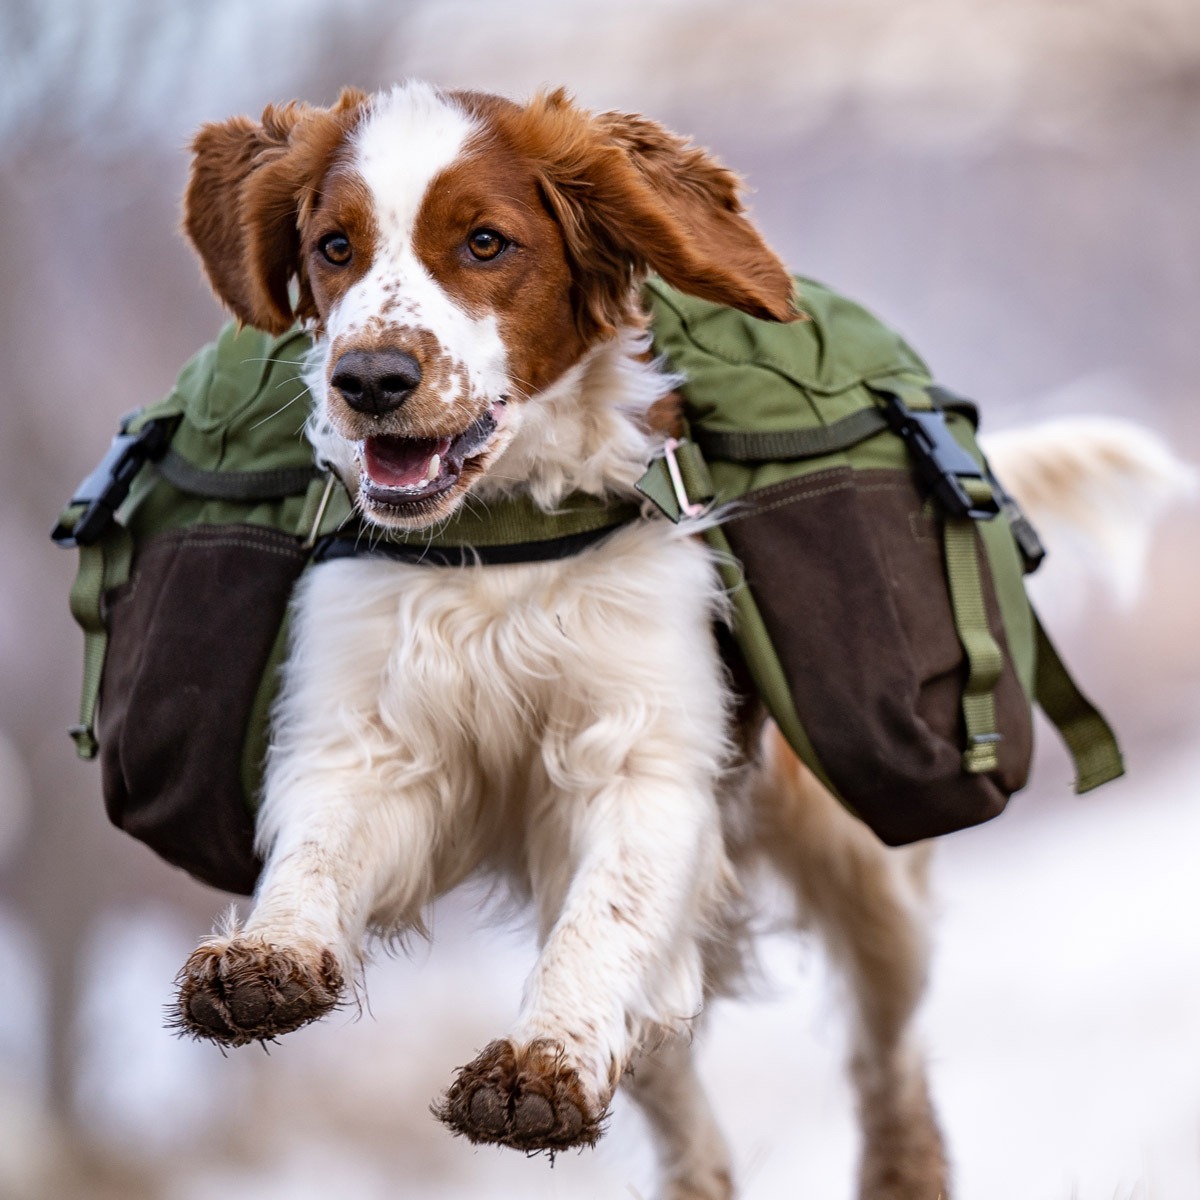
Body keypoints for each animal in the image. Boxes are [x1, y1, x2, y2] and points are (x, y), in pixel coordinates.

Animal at [169, 79, 1190, 1195]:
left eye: (485, 242)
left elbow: (603, 925)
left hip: (863, 869)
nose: (372, 380)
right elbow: (318, 850)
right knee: (678, 1086)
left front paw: (541, 1063)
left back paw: (899, 1165)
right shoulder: (371, 742)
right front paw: (266, 958)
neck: (503, 537)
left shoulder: (644, 765)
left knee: (887, 1053)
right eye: (334, 246)